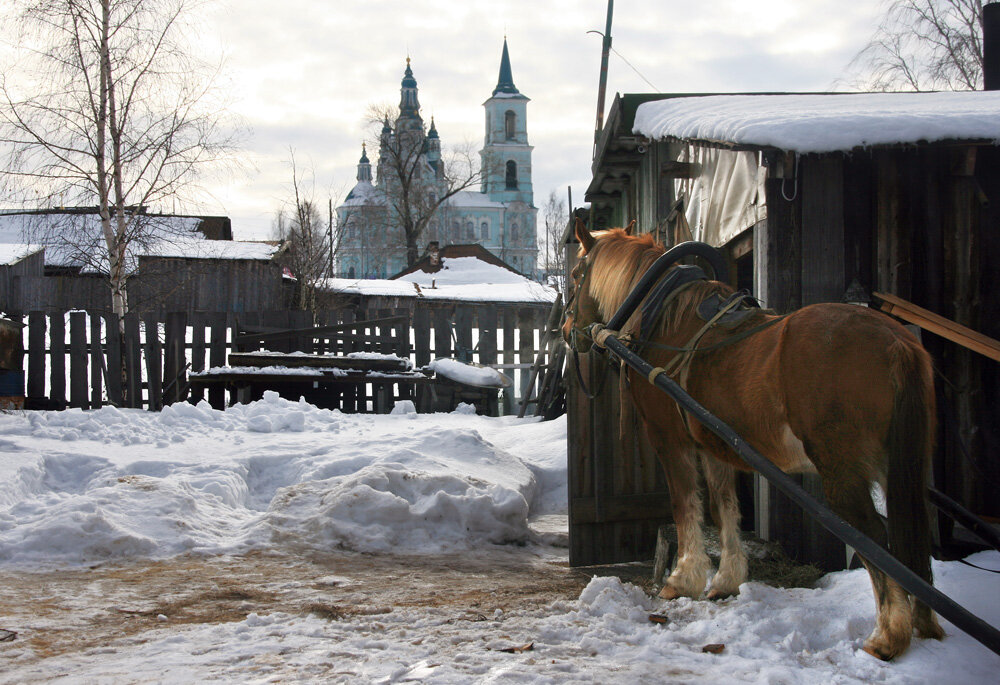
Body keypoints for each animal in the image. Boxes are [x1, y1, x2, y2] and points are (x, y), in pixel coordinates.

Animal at [568, 222, 940, 660]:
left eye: (575, 275)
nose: (566, 332)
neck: (665, 320)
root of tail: (895, 342)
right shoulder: (715, 445)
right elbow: (724, 507)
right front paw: (726, 580)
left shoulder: (670, 439)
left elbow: (685, 504)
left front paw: (683, 578)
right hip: (898, 465)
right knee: (912, 534)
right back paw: (923, 623)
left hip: (842, 472)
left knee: (876, 538)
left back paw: (888, 635)